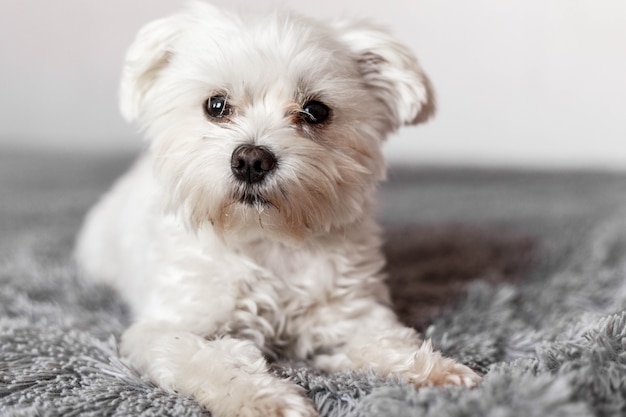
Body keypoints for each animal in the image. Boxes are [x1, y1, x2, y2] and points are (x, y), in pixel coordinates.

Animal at [75, 1, 480, 414]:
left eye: (315, 110)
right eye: (216, 105)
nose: (251, 160)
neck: (269, 239)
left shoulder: (351, 314)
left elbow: (386, 341)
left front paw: (433, 370)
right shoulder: (163, 328)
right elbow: (208, 360)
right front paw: (264, 398)